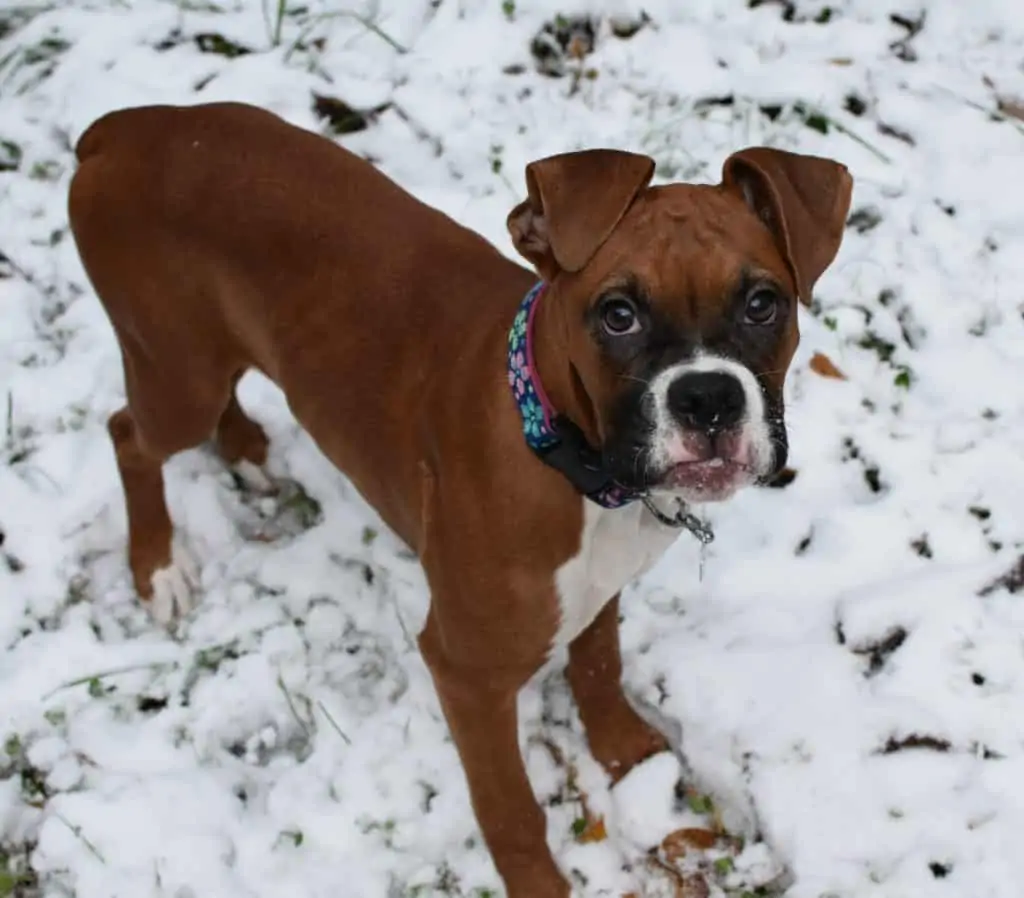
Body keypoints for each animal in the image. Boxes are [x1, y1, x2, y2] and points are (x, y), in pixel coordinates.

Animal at [66, 101, 856, 892]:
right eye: (618, 314)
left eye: (763, 304)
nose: (708, 397)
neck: (571, 456)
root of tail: (129, 126)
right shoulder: (467, 674)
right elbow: (509, 806)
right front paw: (539, 885)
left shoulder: (597, 585)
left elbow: (598, 664)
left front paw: (626, 753)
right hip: (177, 373)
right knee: (127, 434)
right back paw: (158, 567)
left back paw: (248, 454)